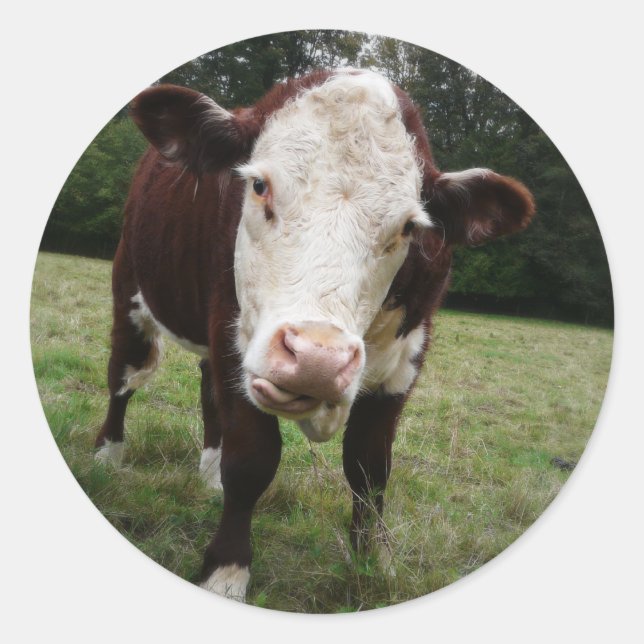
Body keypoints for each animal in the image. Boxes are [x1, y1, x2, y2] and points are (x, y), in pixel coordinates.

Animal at [94, 69, 535, 602]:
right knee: (124, 378)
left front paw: (374, 562)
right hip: (130, 290)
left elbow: (369, 468)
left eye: (409, 226)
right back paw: (106, 456)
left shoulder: (404, 364)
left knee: (206, 392)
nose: (316, 359)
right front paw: (227, 571)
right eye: (259, 185)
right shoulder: (232, 331)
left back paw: (209, 474)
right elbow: (252, 459)